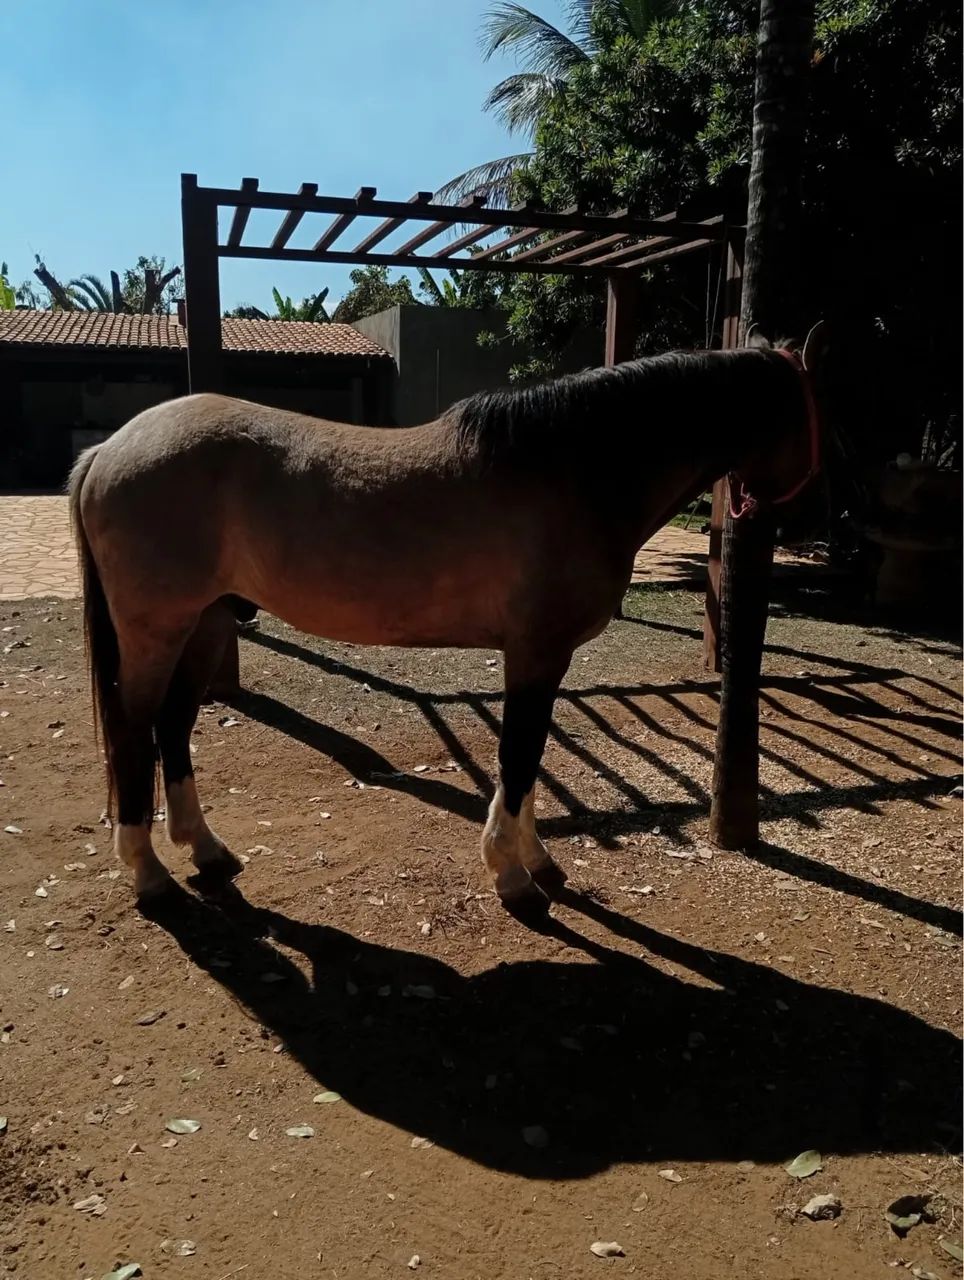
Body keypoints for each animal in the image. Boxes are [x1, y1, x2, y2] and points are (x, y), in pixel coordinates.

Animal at [69, 331, 821, 922]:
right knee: (136, 731)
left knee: (172, 727)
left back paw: (205, 849)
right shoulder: (535, 653)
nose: (795, 510)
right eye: (811, 411)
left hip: (202, 625)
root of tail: (109, 449)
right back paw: (148, 873)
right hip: (159, 631)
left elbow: (530, 759)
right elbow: (518, 757)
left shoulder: (541, 658)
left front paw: (536, 861)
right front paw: (514, 877)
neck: (576, 469)